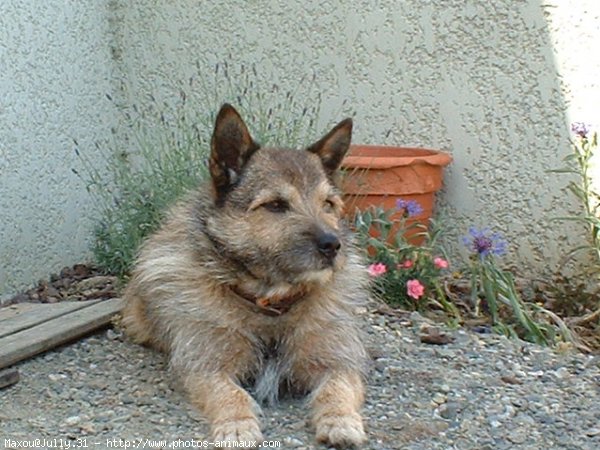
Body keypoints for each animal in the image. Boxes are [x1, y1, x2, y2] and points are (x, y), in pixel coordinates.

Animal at [121, 103, 368, 446]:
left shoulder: (336, 359)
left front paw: (340, 419)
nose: (333, 245)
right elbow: (229, 394)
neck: (270, 305)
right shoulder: (206, 365)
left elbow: (338, 387)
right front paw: (236, 425)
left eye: (328, 204)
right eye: (276, 205)